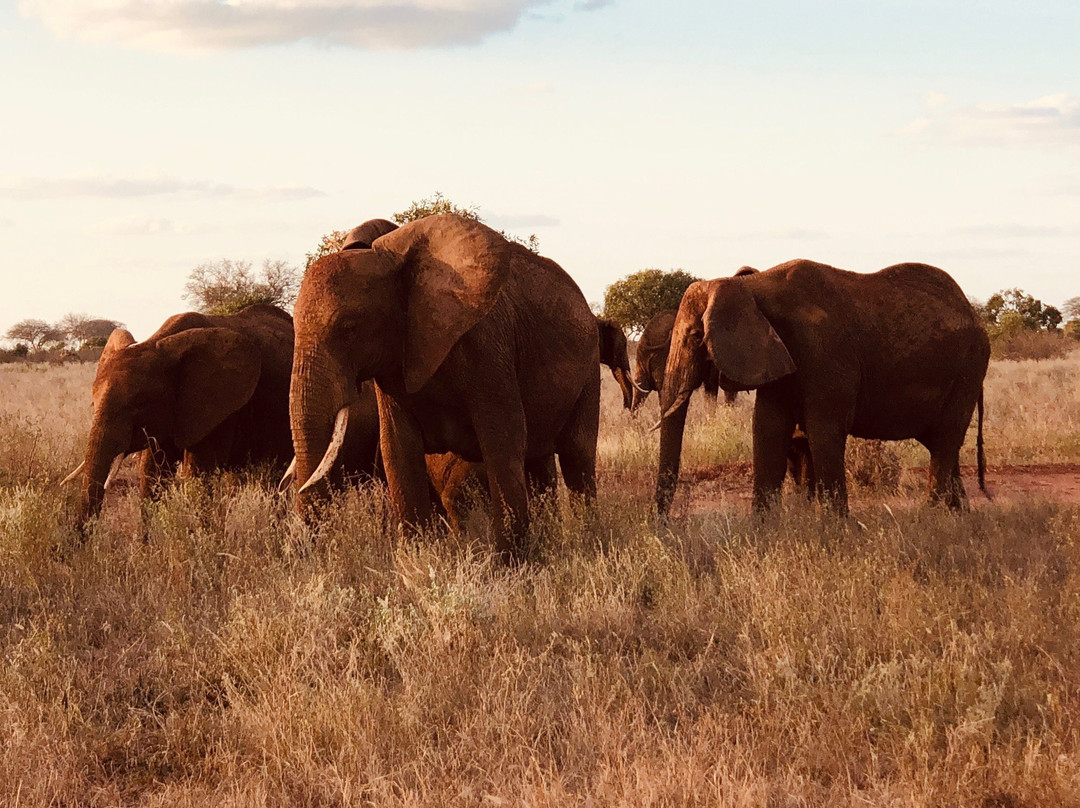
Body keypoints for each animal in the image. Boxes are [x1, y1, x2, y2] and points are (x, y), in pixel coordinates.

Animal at [287, 211, 600, 557]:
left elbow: (503, 441)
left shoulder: (487, 344)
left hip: (590, 368)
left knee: (576, 457)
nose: (297, 549)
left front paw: (509, 564)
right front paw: (420, 560)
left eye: (349, 327)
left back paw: (589, 541)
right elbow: (398, 449)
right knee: (539, 462)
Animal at [648, 259, 989, 514]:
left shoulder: (825, 351)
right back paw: (958, 517)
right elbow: (768, 429)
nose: (660, 527)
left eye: (695, 336)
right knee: (943, 445)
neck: (754, 287)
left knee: (945, 442)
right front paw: (762, 533)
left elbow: (824, 430)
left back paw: (934, 517)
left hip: (969, 370)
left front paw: (836, 531)